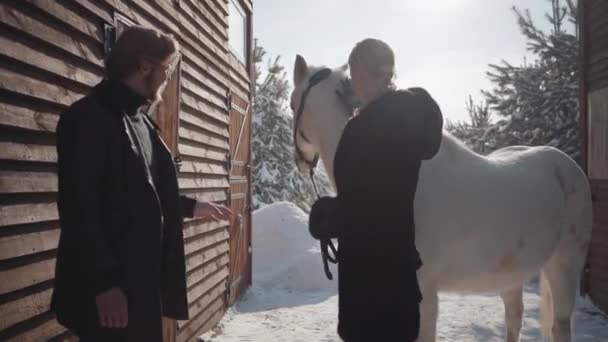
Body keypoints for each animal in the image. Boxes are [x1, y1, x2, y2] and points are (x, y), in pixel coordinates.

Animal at [290, 54, 592, 340]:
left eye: (292, 104)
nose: (300, 161)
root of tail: (566, 164)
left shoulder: (422, 293)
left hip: (563, 266)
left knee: (559, 327)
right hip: (511, 275)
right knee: (514, 318)